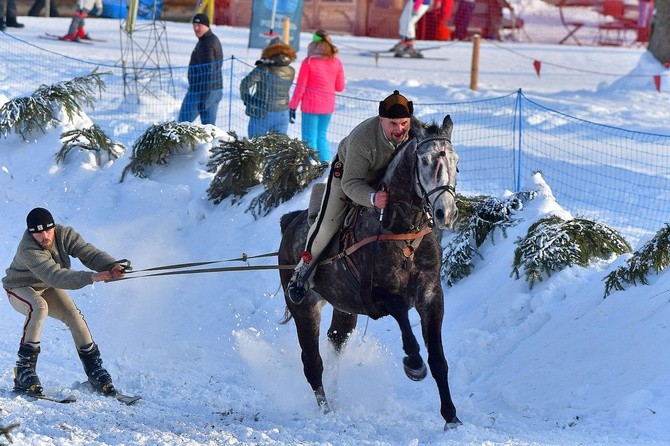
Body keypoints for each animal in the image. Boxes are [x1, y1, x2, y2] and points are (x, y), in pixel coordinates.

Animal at [278, 116, 462, 430]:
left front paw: (451, 417)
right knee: (312, 362)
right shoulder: (376, 296)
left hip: (343, 306)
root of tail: (290, 222)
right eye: (425, 160)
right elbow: (399, 309)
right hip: (304, 307)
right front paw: (414, 363)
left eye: (456, 161)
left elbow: (439, 360)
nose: (445, 213)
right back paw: (326, 411)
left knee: (335, 339)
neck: (402, 233)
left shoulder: (431, 296)